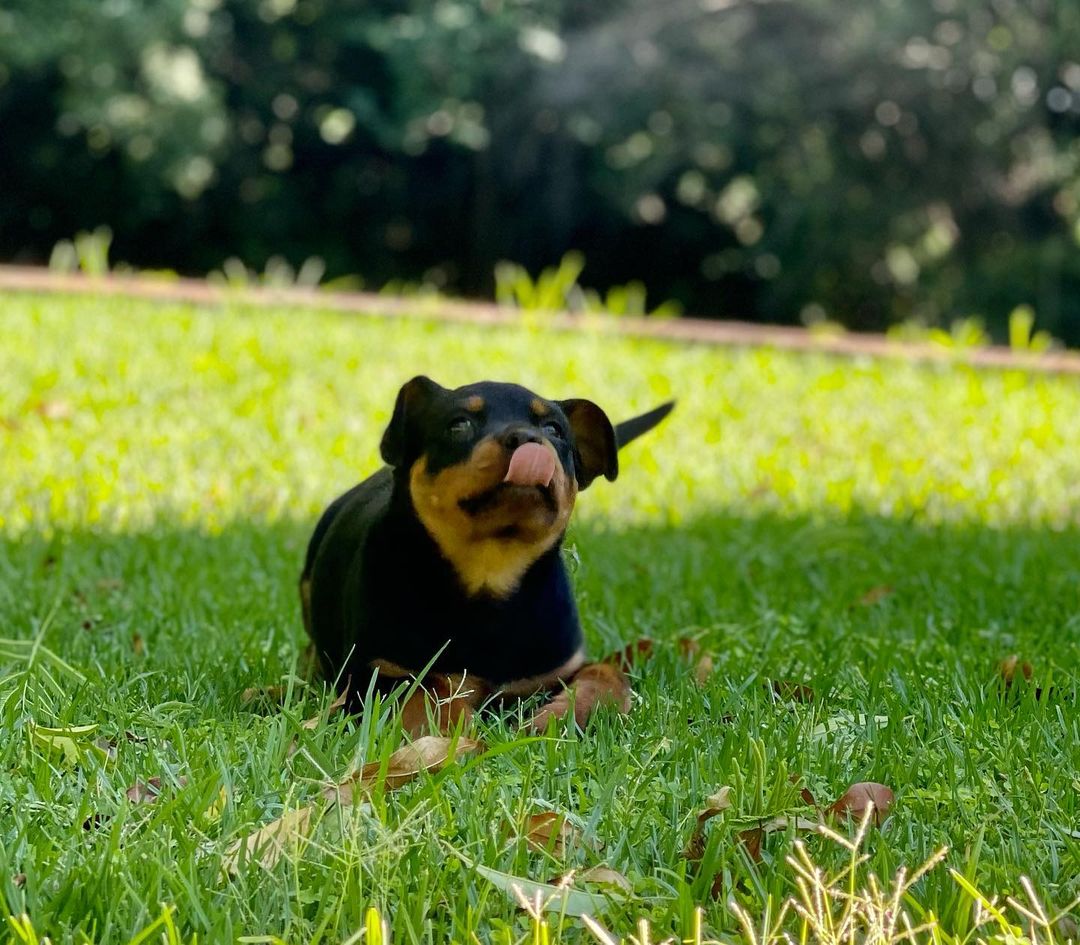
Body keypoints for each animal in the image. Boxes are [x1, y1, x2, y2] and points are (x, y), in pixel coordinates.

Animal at [300, 378, 669, 730]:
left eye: (554, 429)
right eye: (459, 424)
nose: (527, 438)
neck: (492, 574)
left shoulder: (558, 667)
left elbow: (608, 674)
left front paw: (560, 718)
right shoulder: (377, 672)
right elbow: (429, 687)